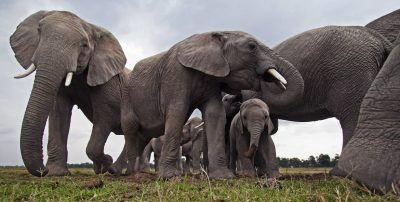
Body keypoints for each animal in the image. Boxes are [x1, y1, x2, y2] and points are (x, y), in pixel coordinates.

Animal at [9, 10, 127, 176]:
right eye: (39, 31)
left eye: (84, 45)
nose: (43, 170)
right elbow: (59, 112)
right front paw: (56, 173)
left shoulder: (107, 81)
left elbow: (105, 116)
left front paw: (106, 164)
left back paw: (117, 170)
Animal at [122, 30, 304, 179]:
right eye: (252, 46)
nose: (268, 77)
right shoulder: (175, 73)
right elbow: (177, 112)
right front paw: (170, 177)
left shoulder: (212, 80)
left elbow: (215, 114)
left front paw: (223, 177)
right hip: (128, 98)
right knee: (131, 129)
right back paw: (133, 174)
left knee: (142, 137)